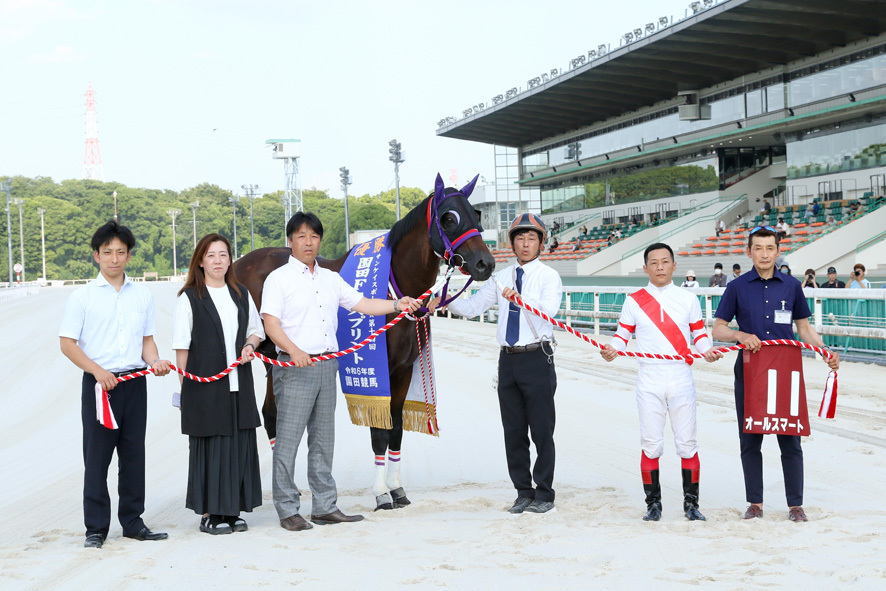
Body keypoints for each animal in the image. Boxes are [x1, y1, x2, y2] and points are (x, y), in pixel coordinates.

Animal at [232, 173, 496, 512]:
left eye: (476, 214)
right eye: (449, 218)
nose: (485, 264)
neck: (394, 284)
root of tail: (238, 265)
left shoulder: (403, 371)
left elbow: (395, 430)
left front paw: (397, 489)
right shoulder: (379, 373)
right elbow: (379, 434)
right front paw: (381, 493)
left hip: (277, 360)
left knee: (272, 414)